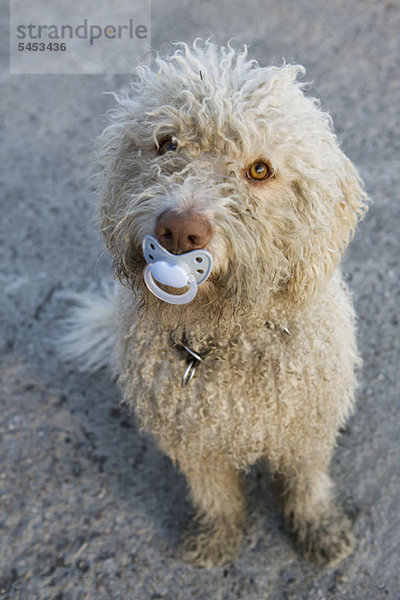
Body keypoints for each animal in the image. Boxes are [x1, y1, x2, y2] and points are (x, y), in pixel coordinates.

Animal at [62, 41, 368, 568]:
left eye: (260, 169)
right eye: (167, 143)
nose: (179, 231)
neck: (223, 338)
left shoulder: (306, 430)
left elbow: (306, 484)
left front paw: (318, 530)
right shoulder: (193, 441)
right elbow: (214, 493)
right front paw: (217, 536)